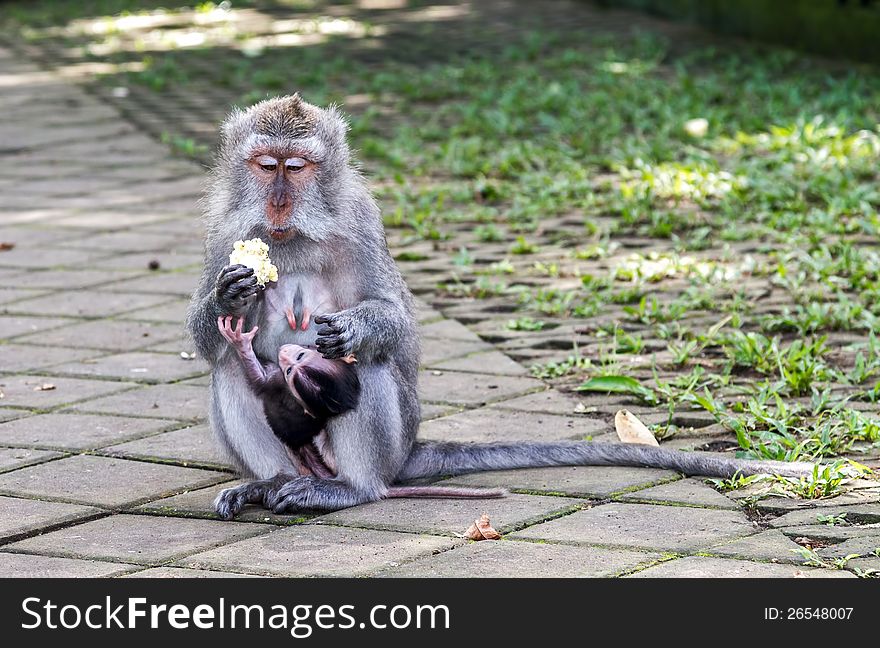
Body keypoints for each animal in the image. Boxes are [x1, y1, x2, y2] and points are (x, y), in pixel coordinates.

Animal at [217, 316, 502, 498]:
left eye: (296, 362)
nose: (285, 354)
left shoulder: (278, 381)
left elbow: (259, 380)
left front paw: (240, 342)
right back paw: (272, 483)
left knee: (370, 361)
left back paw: (354, 489)